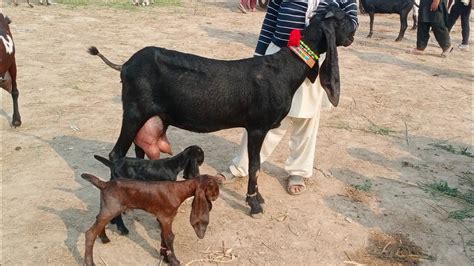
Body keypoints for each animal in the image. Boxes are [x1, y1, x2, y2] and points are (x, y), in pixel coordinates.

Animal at [90, 5, 356, 218]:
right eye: (343, 19)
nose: (353, 33)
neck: (282, 70)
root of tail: (124, 65)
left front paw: (257, 198)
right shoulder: (258, 126)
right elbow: (254, 165)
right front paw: (254, 204)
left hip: (149, 117)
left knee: (139, 150)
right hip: (133, 112)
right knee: (116, 154)